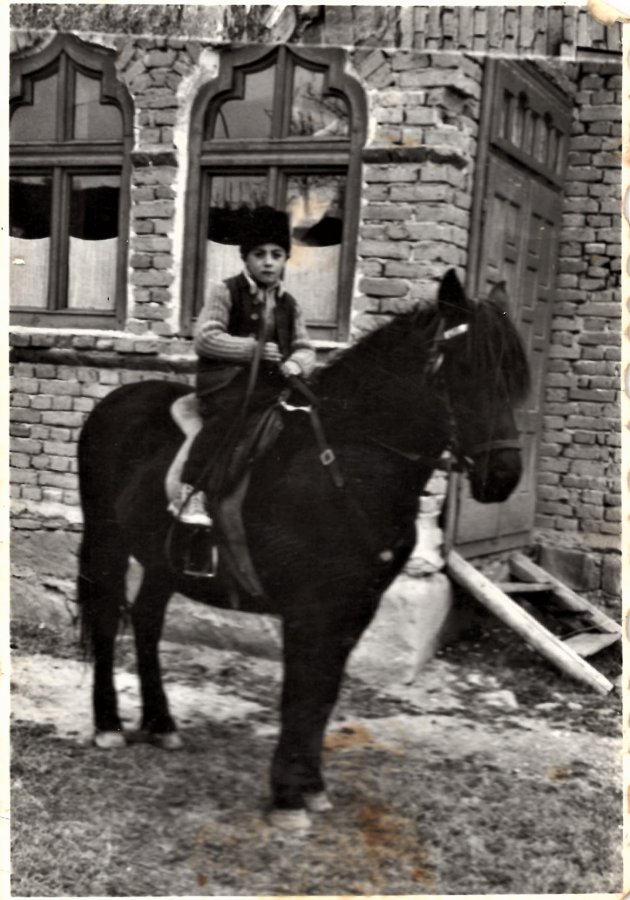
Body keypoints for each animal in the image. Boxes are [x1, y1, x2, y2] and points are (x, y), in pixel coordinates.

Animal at [77, 269, 530, 830]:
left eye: (512, 377)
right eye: (464, 370)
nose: (502, 477)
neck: (341, 466)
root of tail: (114, 402)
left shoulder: (353, 609)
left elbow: (322, 695)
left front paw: (309, 786)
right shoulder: (308, 609)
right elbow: (299, 692)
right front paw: (289, 796)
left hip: (162, 557)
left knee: (146, 622)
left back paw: (161, 723)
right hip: (106, 540)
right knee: (104, 619)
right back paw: (108, 725)